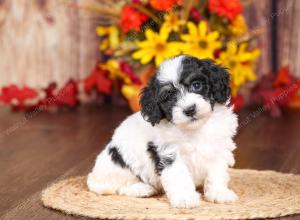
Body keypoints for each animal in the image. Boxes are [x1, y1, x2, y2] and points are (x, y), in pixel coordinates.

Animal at [87, 55, 239, 208]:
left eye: (196, 85)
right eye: (169, 97)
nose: (189, 109)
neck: (194, 129)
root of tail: (93, 176)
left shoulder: (218, 148)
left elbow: (217, 173)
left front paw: (219, 193)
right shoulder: (169, 153)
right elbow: (179, 176)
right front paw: (185, 198)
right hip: (119, 165)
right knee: (118, 186)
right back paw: (141, 189)